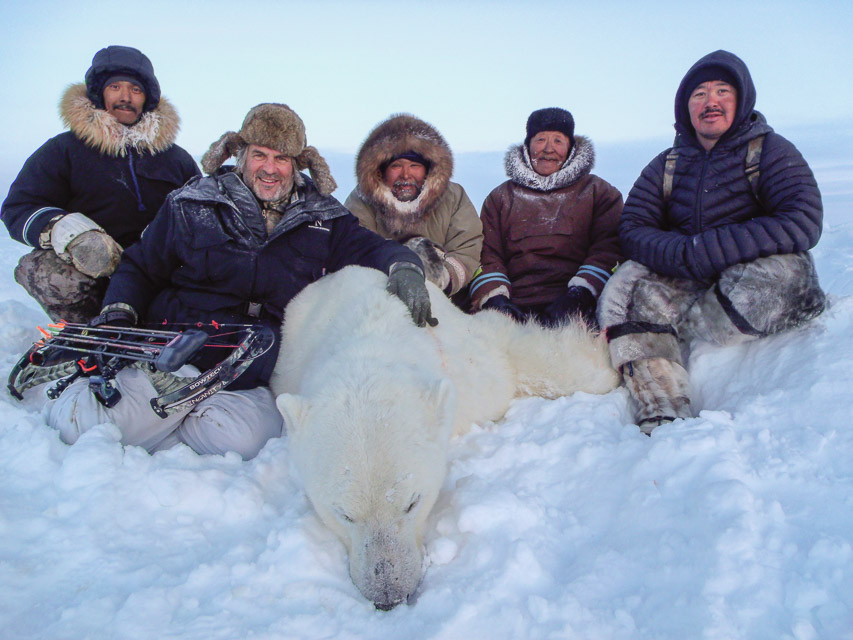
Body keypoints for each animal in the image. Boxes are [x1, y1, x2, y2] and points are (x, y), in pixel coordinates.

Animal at [270, 266, 616, 608]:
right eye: (345, 514)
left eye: (412, 502)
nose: (389, 594)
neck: (367, 342)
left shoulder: (471, 372)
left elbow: (511, 351)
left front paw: (605, 365)